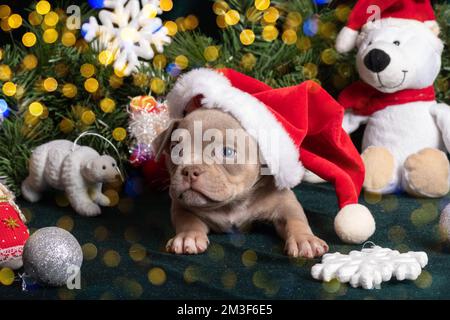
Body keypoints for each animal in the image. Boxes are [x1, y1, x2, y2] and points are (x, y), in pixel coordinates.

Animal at [156, 107, 328, 258]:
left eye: (227, 152)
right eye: (176, 150)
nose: (190, 171)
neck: (231, 204)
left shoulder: (285, 202)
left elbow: (295, 218)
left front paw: (304, 239)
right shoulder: (182, 206)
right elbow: (188, 220)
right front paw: (188, 236)